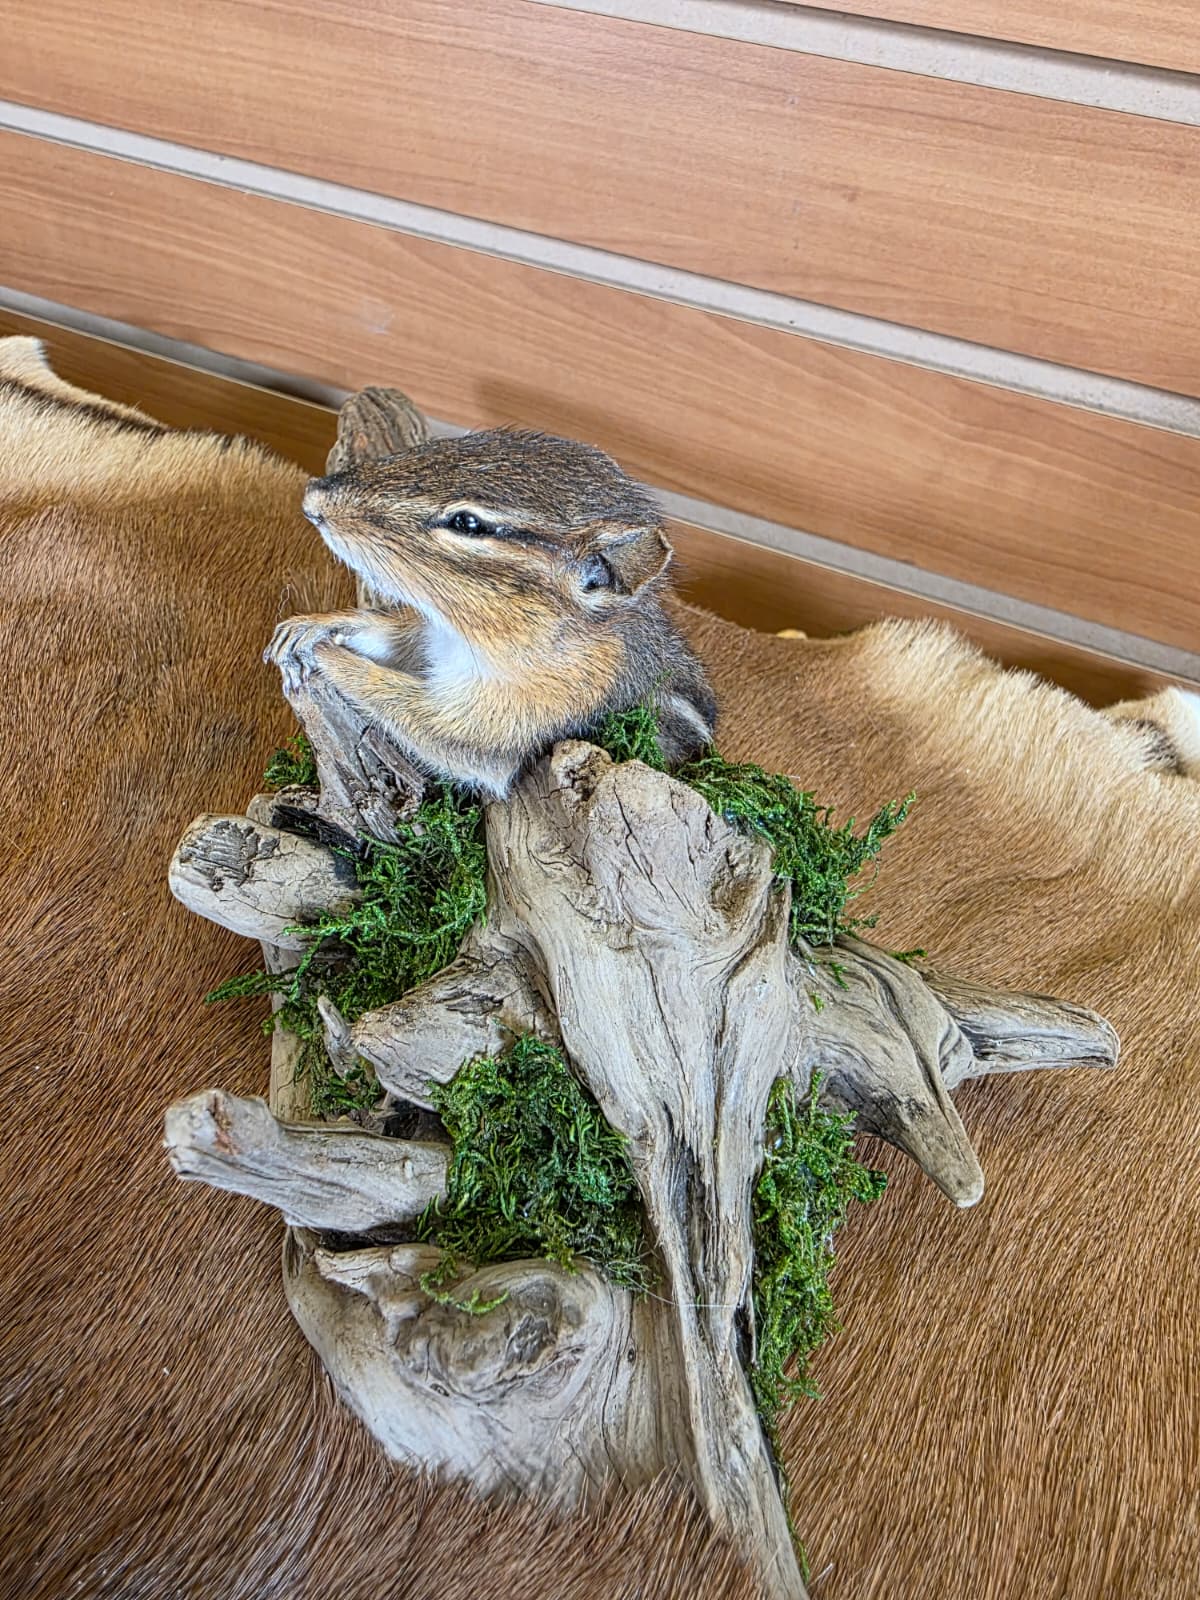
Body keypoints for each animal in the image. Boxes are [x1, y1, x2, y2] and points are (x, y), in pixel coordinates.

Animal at [265, 427, 717, 796]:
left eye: (467, 523)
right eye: (449, 444)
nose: (313, 495)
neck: (469, 637)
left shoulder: (503, 723)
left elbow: (407, 706)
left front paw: (329, 655)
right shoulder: (430, 636)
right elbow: (390, 634)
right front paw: (310, 627)